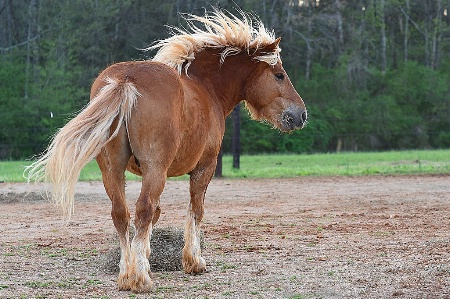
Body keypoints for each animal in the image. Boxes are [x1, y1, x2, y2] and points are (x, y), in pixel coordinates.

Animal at [26, 8, 308, 292]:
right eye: (279, 75)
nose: (301, 115)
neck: (205, 87)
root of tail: (126, 81)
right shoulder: (205, 167)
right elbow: (195, 210)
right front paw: (193, 261)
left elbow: (157, 214)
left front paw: (147, 256)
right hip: (155, 171)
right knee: (142, 210)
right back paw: (140, 278)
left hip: (113, 171)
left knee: (122, 213)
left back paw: (126, 274)